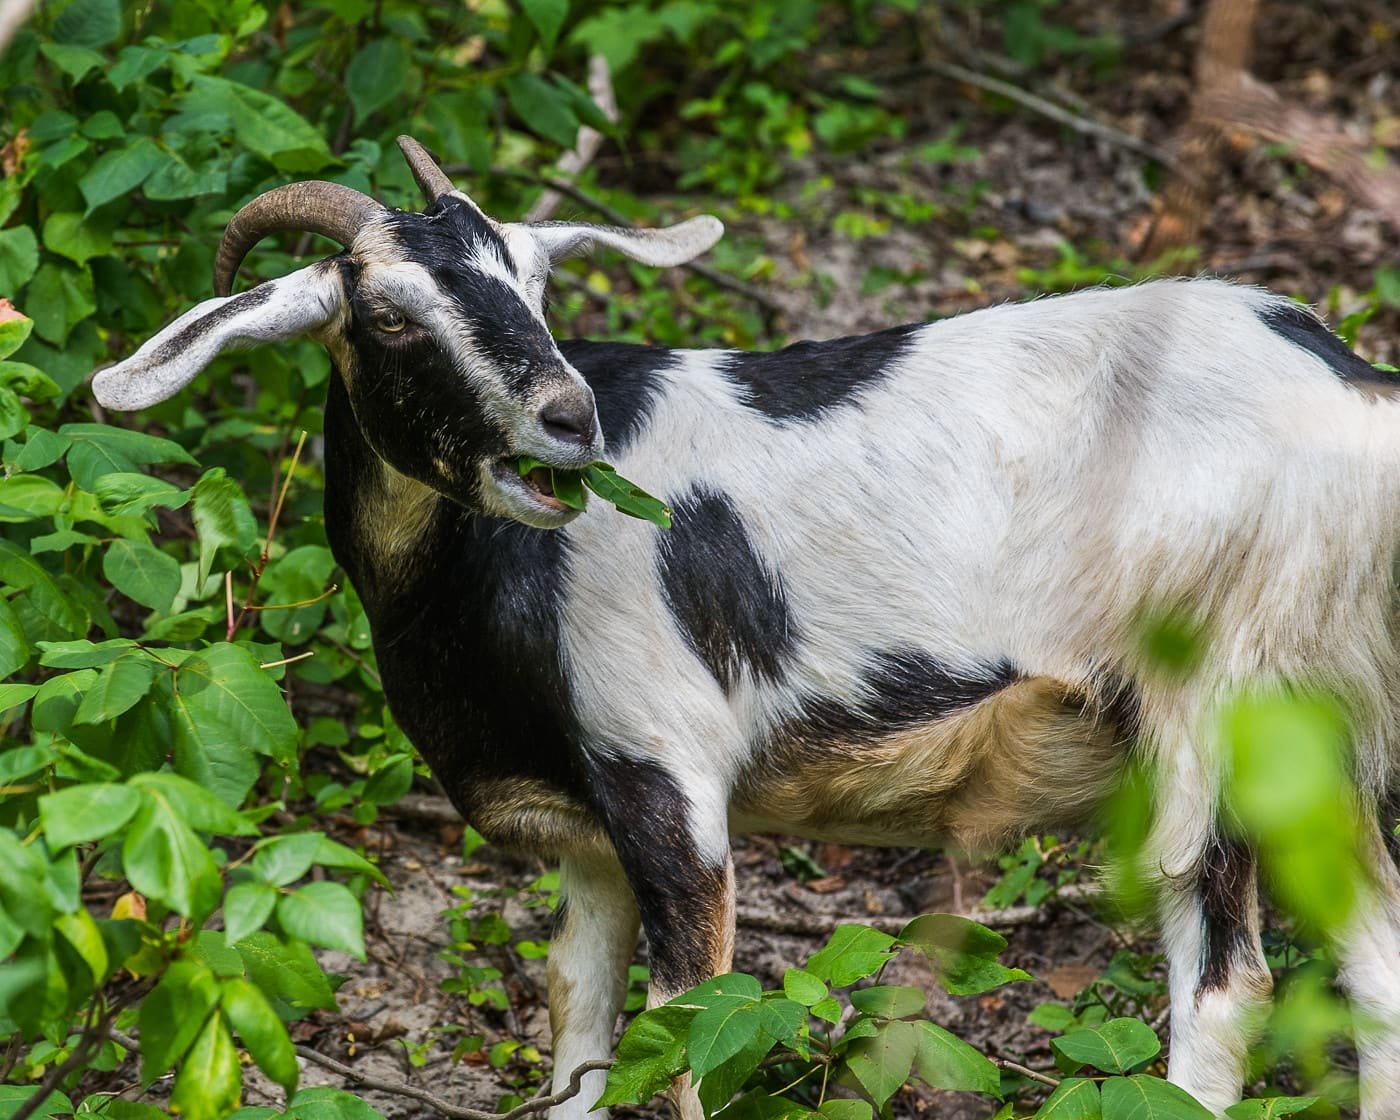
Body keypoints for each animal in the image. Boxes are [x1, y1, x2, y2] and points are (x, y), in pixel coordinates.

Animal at [93, 135, 1400, 1114]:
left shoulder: (667, 779)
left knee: (1225, 988)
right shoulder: (587, 839)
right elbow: (578, 1029)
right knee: (1377, 954)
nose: (567, 418)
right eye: (390, 315)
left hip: (1221, 702)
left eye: (537, 282)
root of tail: (1348, 384)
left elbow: (684, 1038)